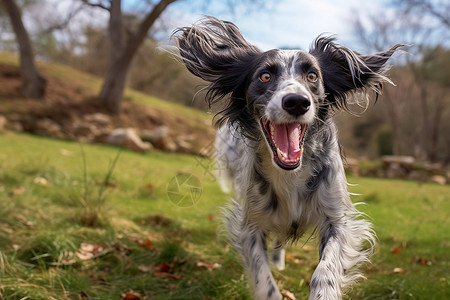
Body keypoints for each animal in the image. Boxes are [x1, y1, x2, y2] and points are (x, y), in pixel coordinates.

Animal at [174, 17, 402, 300]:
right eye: (265, 75)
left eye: (312, 76)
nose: (296, 102)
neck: (290, 172)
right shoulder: (250, 224)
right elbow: (263, 278)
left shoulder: (337, 219)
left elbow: (325, 271)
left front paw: (322, 291)